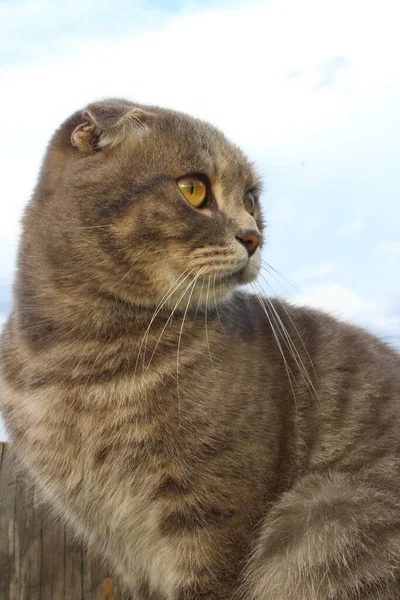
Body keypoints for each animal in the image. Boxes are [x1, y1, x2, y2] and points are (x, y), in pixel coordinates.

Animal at [0, 98, 400, 600]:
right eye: (193, 189)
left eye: (250, 200)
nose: (253, 237)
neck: (72, 355)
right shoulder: (119, 544)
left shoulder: (214, 515)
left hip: (324, 513)